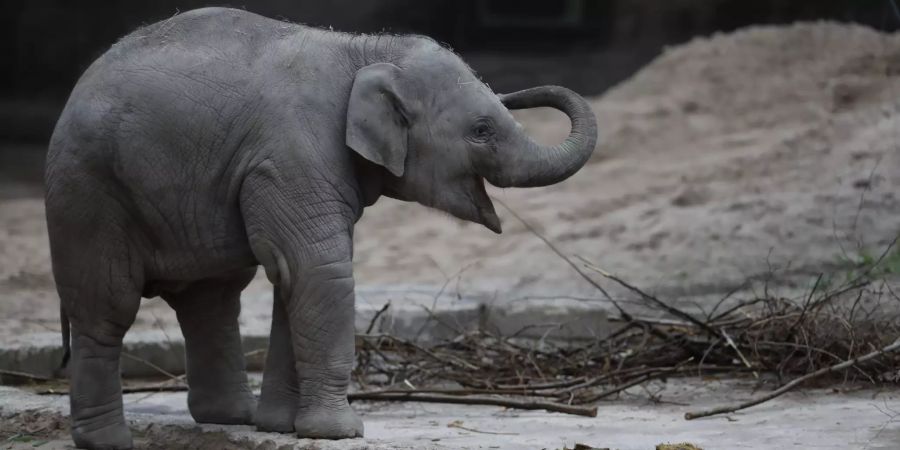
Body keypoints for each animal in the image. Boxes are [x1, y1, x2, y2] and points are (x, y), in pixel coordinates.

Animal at [47, 5, 596, 448]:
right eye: (481, 131)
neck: (364, 50)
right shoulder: (294, 155)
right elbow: (319, 270)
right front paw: (340, 433)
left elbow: (294, 277)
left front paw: (281, 428)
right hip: (88, 192)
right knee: (107, 307)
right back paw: (108, 440)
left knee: (213, 298)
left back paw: (233, 418)